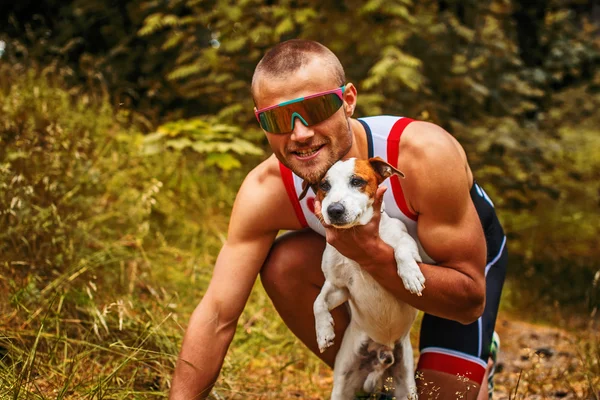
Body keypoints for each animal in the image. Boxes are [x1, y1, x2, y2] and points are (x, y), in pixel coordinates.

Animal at [304, 158, 426, 398]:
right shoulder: (338, 286)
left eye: (357, 181)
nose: (334, 210)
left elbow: (402, 250)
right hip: (343, 383)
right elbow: (317, 303)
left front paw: (410, 274)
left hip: (407, 387)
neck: (355, 233)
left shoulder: (406, 242)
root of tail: (383, 353)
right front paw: (323, 331)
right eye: (324, 185)